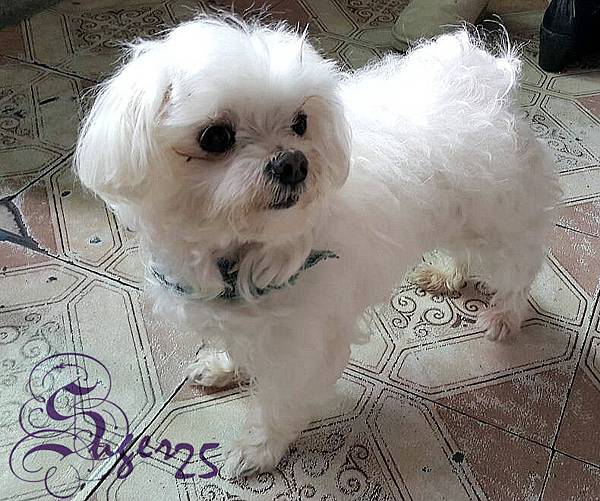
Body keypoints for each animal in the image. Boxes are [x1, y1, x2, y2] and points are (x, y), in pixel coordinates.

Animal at [74, 15, 561, 477]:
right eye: (215, 137)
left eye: (300, 123)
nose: (293, 162)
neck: (244, 248)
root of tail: (486, 76)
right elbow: (237, 347)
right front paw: (223, 368)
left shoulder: (302, 345)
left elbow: (278, 404)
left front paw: (259, 450)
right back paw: (448, 274)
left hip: (500, 223)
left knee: (520, 268)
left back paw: (504, 315)